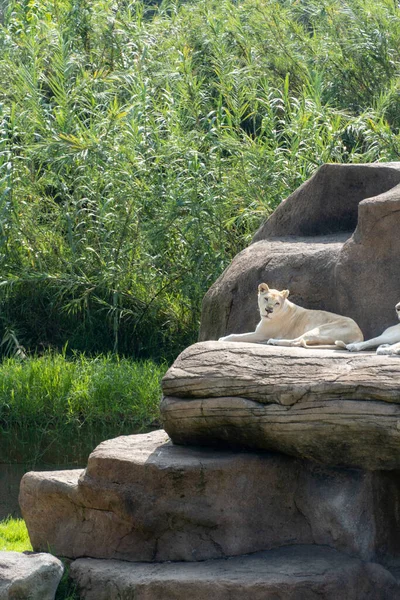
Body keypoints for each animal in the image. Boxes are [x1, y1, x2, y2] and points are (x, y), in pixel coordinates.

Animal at [217, 284, 364, 350]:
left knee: (297, 341)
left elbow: (238, 336)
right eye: (266, 298)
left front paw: (223, 338)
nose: (269, 310)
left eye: (277, 303)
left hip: (319, 329)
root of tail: (360, 335)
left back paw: (274, 341)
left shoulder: (261, 334)